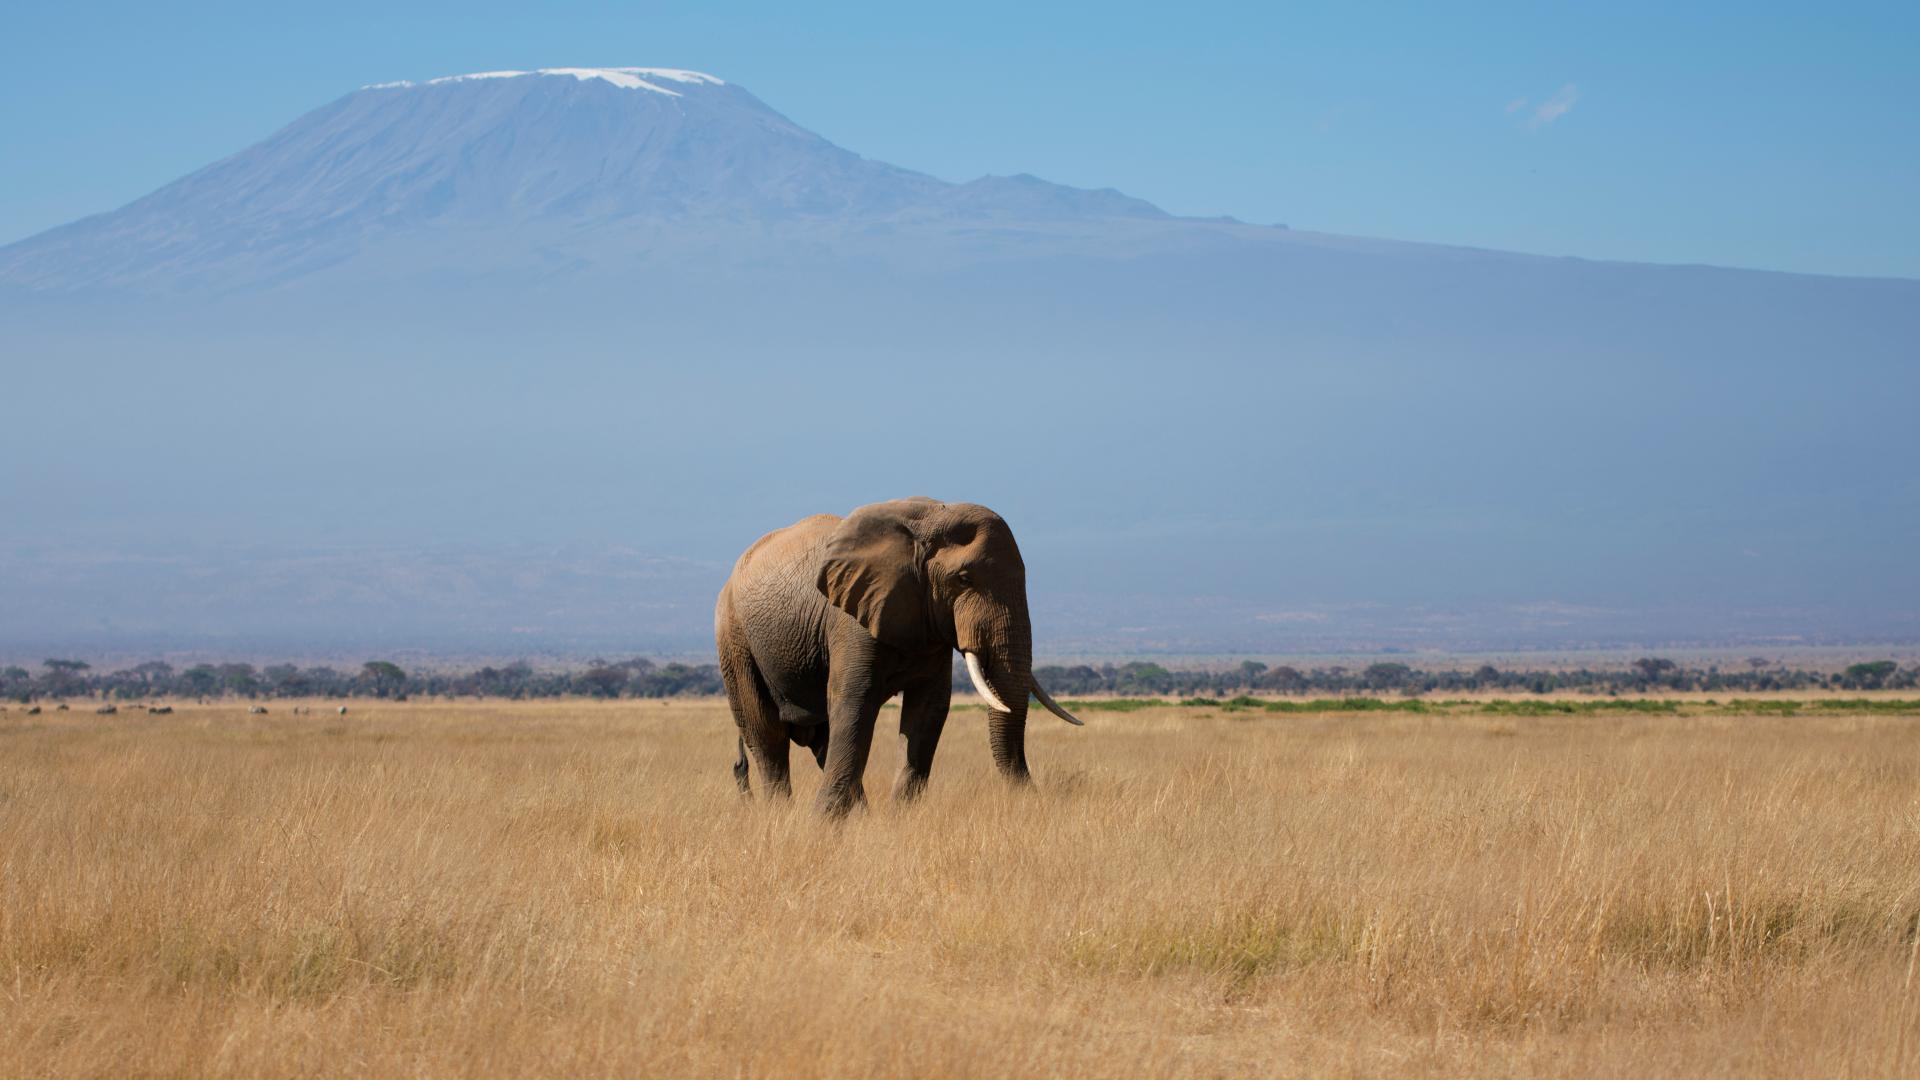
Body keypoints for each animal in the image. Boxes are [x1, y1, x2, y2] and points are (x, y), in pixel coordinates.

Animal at [718, 491, 1082, 810]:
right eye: (964, 579)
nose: (1032, 797)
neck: (928, 519)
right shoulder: (851, 618)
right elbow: (855, 703)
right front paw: (822, 824)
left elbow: (929, 709)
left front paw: (898, 817)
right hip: (734, 641)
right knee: (767, 735)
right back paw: (781, 816)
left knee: (821, 738)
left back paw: (860, 815)